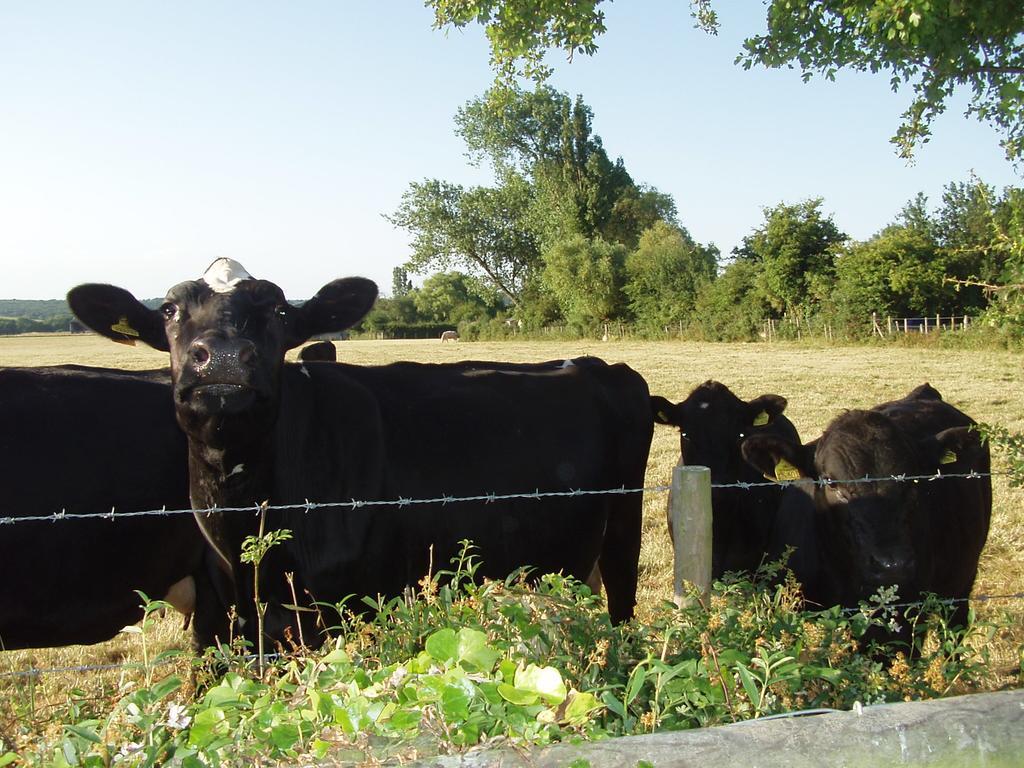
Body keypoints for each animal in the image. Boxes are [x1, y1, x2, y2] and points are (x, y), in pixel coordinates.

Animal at [68, 260, 651, 651]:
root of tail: (594, 362)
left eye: (279, 310)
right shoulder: (233, 616)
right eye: (169, 310)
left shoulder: (347, 607)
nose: (225, 358)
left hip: (624, 531)